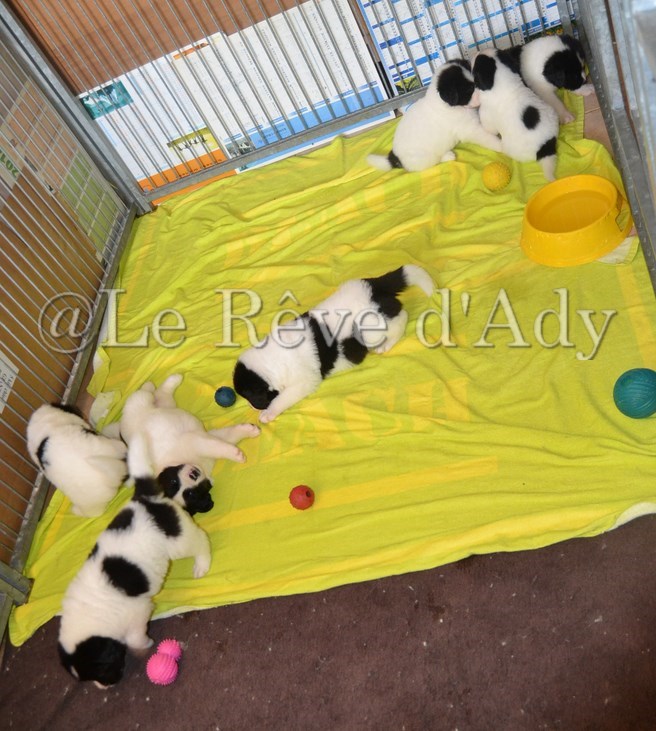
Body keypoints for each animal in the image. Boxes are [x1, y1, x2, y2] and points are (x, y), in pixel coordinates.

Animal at [57, 442, 212, 688]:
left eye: (102, 670)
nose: (105, 686)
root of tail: (147, 499)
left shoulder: (136, 615)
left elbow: (135, 638)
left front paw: (146, 644)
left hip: (178, 541)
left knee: (200, 541)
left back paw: (202, 564)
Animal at [114, 374, 260, 494]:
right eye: (175, 484)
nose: (193, 474)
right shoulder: (199, 440)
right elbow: (223, 444)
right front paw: (237, 454)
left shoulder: (201, 438)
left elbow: (229, 436)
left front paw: (249, 431)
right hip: (163, 405)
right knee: (159, 393)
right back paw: (165, 381)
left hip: (150, 402)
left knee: (152, 393)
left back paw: (161, 382)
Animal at [233, 264, 434, 423]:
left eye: (252, 397)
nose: (253, 407)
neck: (272, 361)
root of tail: (374, 285)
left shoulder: (304, 381)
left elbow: (283, 398)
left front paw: (268, 413)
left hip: (370, 329)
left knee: (402, 316)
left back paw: (388, 343)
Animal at [367, 59, 502, 173]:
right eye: (469, 90)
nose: (484, 93)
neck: (447, 105)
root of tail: (395, 157)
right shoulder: (470, 130)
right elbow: (487, 138)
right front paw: (501, 145)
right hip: (426, 158)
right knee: (434, 161)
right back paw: (448, 155)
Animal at [472, 48, 560, 180]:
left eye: (477, 62)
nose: (475, 52)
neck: (505, 82)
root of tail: (545, 145)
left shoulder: (486, 115)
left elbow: (489, 129)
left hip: (511, 147)